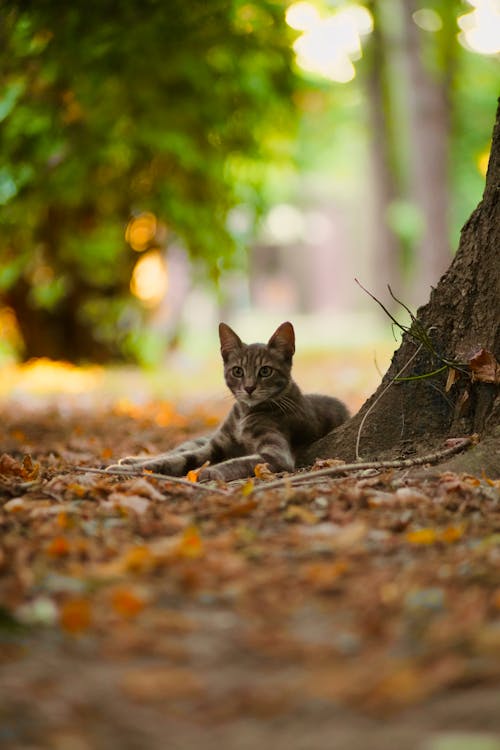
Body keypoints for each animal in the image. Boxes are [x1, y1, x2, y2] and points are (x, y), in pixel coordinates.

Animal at [111, 322, 350, 484]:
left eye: (265, 371)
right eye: (238, 371)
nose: (249, 387)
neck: (244, 413)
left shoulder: (277, 454)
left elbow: (240, 461)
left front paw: (209, 471)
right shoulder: (214, 446)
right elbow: (176, 459)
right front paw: (129, 470)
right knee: (175, 450)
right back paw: (130, 460)